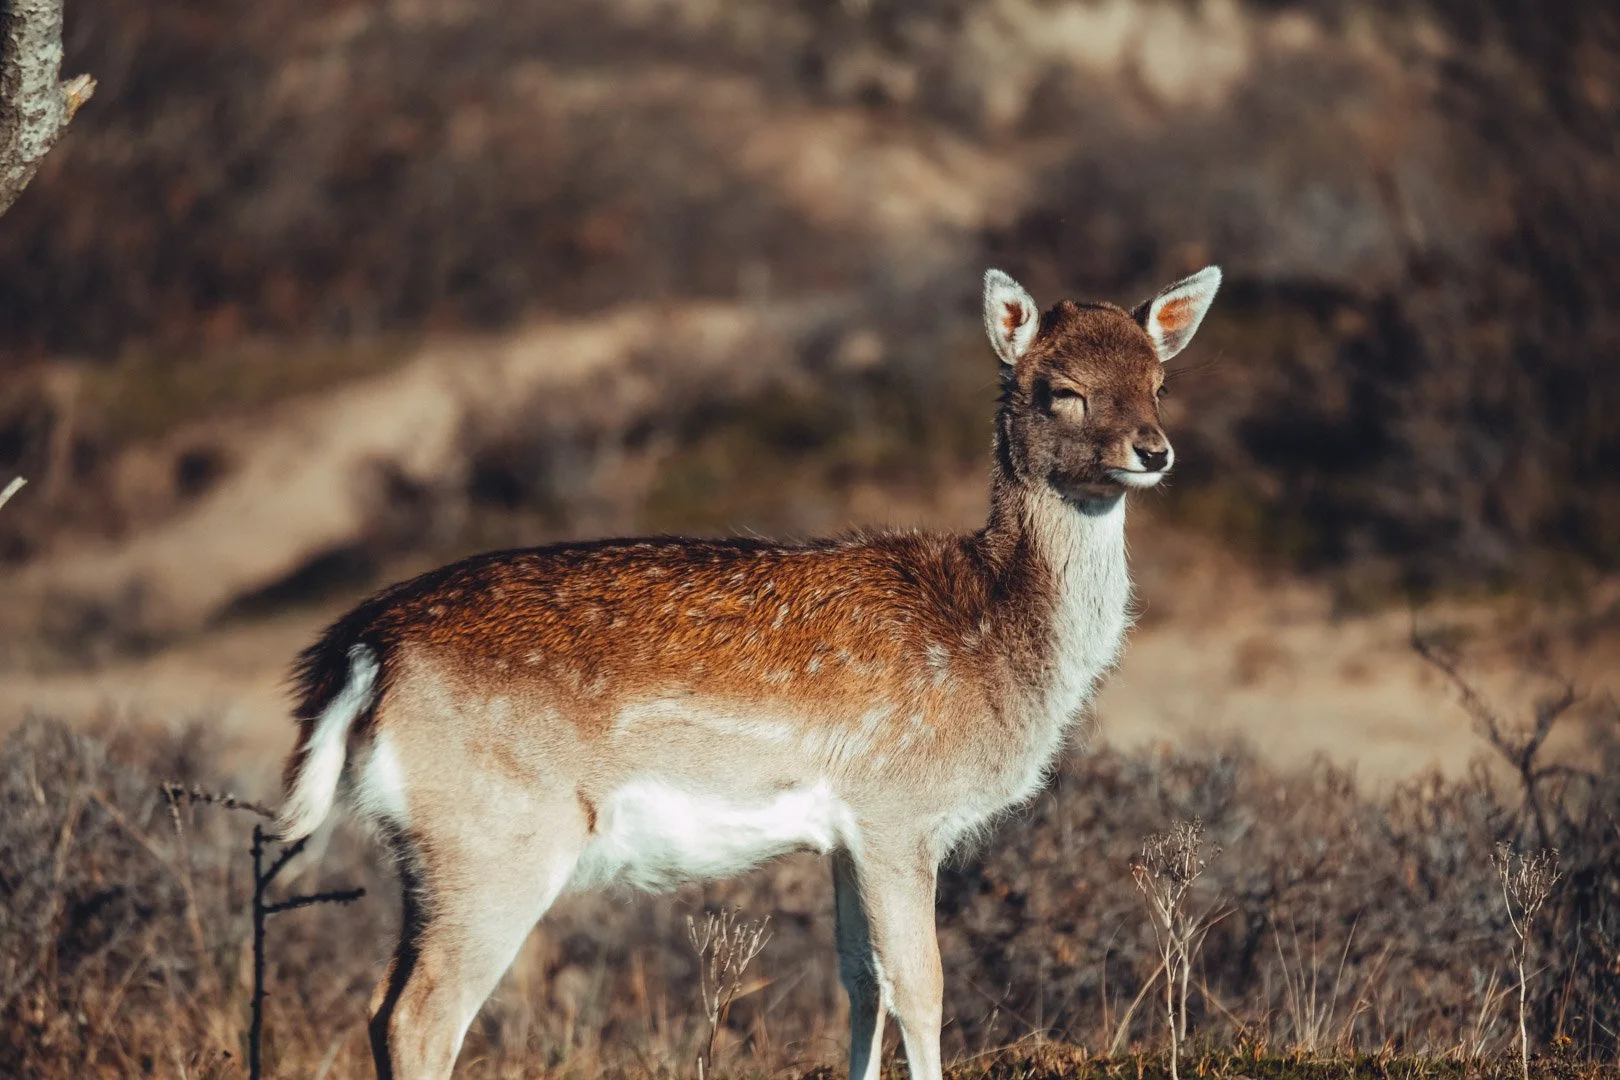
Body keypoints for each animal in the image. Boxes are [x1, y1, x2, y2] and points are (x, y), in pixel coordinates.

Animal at [275, 264, 1221, 1080]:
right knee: (421, 1016)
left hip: (425, 849)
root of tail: (356, 652)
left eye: (1160, 382)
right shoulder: (899, 811)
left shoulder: (847, 835)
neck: (997, 643)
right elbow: (922, 988)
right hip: (497, 834)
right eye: (1060, 388)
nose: (1154, 451)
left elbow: (861, 985)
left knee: (379, 1005)